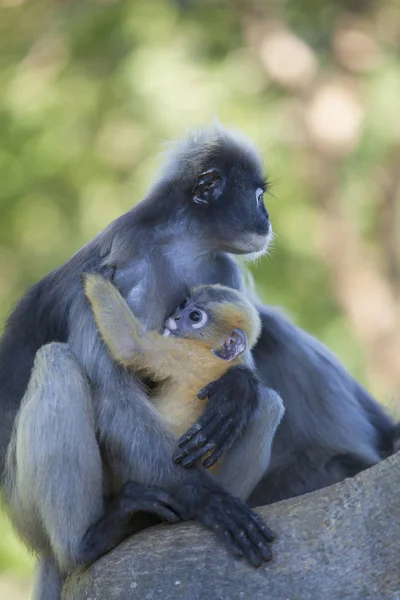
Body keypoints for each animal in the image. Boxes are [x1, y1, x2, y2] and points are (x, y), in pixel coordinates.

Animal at [83, 274, 260, 472]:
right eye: (184, 303)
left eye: (195, 316)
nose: (176, 316)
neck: (212, 351)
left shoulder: (189, 354)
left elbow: (131, 346)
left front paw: (94, 280)